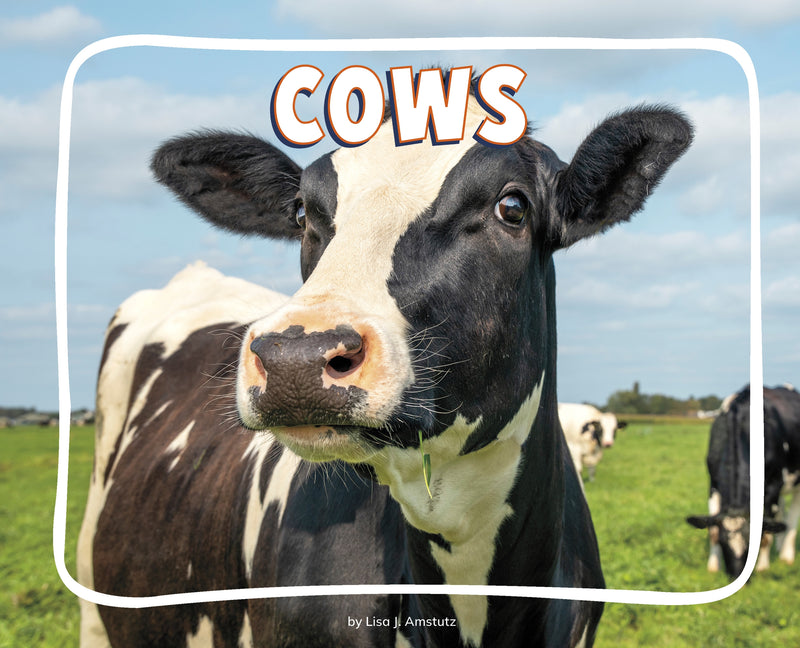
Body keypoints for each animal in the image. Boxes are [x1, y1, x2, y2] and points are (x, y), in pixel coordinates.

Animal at [687, 385, 800, 579]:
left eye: (750, 543)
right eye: (723, 542)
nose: (737, 575)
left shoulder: (773, 485)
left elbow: (766, 532)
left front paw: (762, 567)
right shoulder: (714, 484)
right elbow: (712, 529)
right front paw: (713, 567)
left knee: (792, 518)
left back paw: (786, 555)